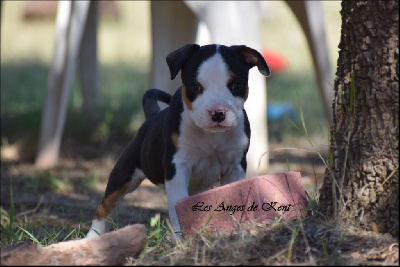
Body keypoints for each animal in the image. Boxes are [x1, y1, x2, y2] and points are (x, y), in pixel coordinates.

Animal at [86, 44, 270, 241]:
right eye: (195, 86)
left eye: (236, 85)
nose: (218, 113)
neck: (211, 136)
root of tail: (150, 119)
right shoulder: (177, 165)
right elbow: (177, 203)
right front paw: (180, 239)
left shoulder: (235, 167)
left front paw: (236, 230)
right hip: (123, 174)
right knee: (105, 206)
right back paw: (92, 237)